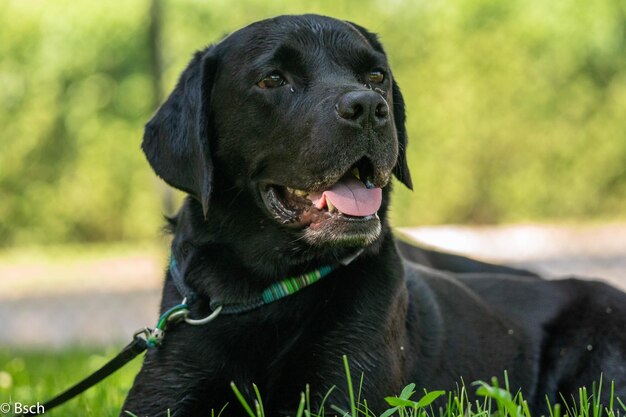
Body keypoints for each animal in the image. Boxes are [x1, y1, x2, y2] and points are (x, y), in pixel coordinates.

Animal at [123, 14, 624, 416]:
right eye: (272, 79)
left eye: (376, 74)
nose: (367, 106)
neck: (268, 290)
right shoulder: (166, 390)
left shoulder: (345, 389)